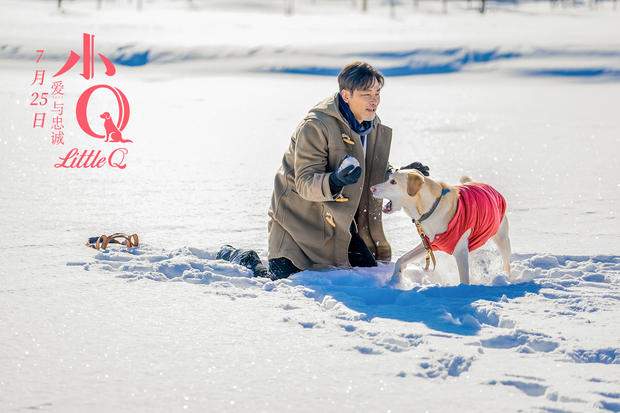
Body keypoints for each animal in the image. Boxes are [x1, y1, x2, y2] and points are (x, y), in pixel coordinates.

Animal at [370, 168, 512, 286]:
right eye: (389, 179)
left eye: (393, 182)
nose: (371, 188)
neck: (431, 208)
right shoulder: (428, 244)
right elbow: (401, 259)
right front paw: (394, 281)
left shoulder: (460, 251)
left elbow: (464, 280)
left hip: (501, 238)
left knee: (506, 263)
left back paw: (507, 278)